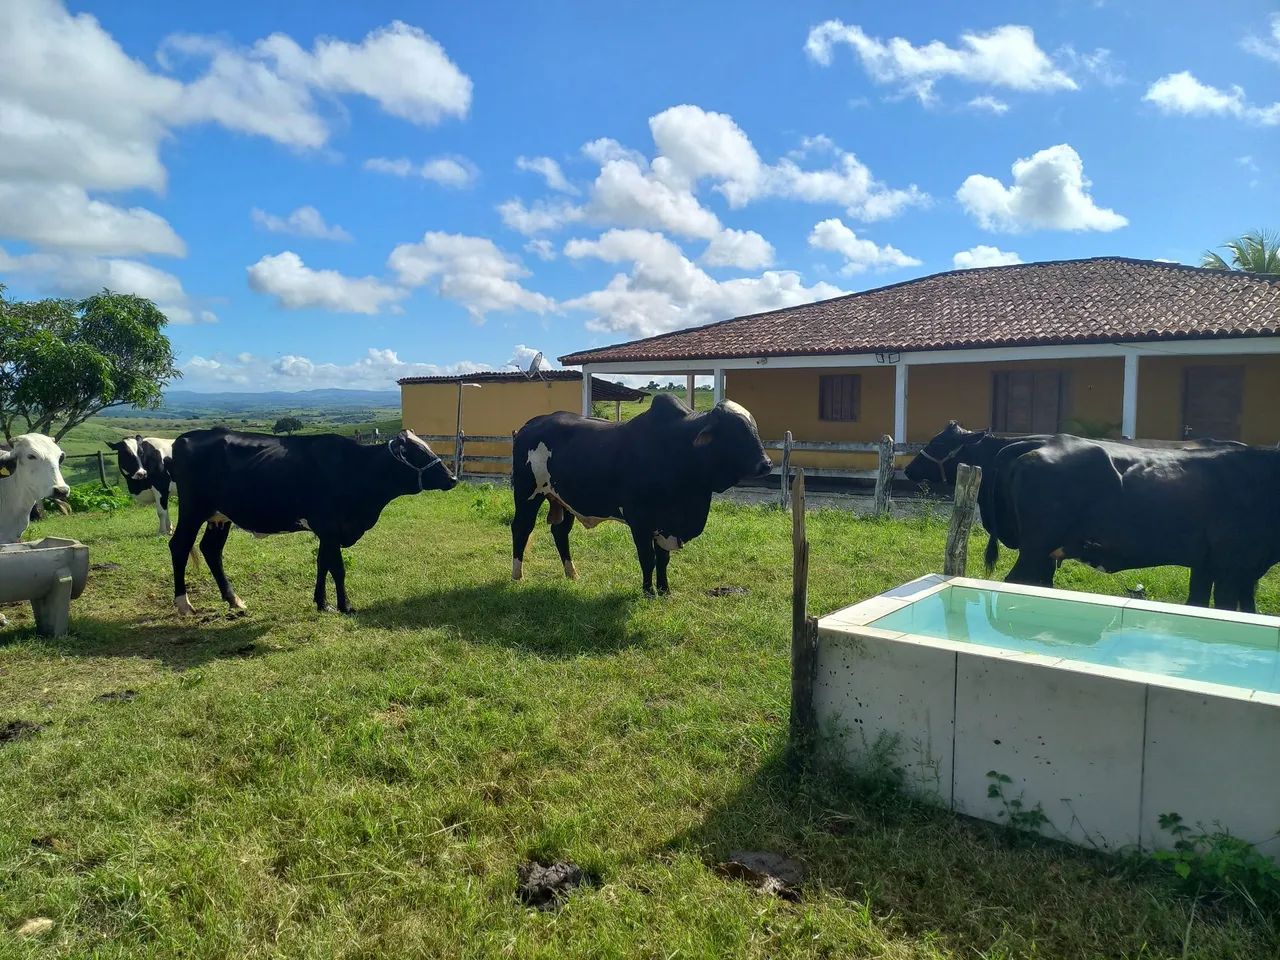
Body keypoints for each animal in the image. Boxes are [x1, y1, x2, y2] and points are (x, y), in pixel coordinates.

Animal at [167, 428, 456, 616]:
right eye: (418, 453)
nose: (452, 478)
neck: (356, 469)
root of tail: (185, 437)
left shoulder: (329, 531)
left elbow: (322, 563)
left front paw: (321, 602)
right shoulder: (329, 525)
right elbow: (337, 568)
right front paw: (345, 606)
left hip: (219, 516)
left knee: (211, 549)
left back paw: (234, 600)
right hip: (193, 509)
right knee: (179, 545)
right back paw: (184, 605)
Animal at [510, 395, 773, 596]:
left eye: (753, 428)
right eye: (734, 432)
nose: (767, 464)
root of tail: (528, 426)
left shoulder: (664, 524)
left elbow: (663, 559)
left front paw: (664, 590)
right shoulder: (640, 520)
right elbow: (648, 558)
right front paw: (648, 591)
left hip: (563, 500)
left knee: (560, 532)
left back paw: (572, 573)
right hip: (527, 494)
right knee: (521, 528)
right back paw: (517, 575)